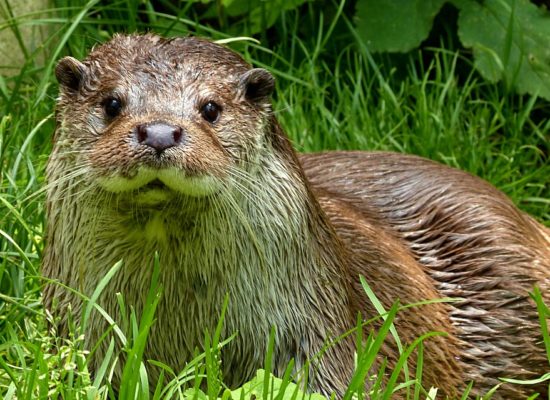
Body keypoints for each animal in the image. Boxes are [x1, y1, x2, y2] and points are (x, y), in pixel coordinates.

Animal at [44, 32, 550, 398]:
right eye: (111, 103)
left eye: (210, 108)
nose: (161, 132)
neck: (181, 317)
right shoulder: (77, 326)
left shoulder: (314, 332)